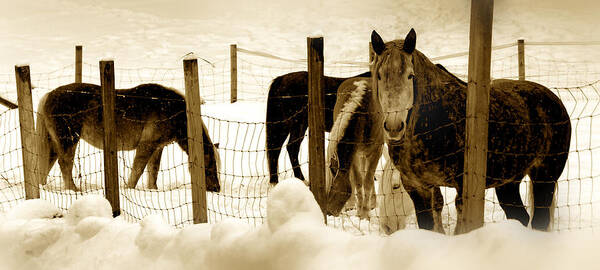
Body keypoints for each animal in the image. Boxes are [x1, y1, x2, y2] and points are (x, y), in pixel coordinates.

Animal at [33, 82, 220, 192]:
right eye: (209, 166)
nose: (216, 189)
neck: (173, 111)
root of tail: (49, 95)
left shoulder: (157, 147)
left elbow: (153, 171)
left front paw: (152, 190)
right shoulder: (146, 145)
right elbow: (138, 169)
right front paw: (129, 188)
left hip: (55, 142)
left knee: (48, 163)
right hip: (68, 140)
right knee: (65, 165)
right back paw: (73, 189)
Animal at [324, 77, 384, 219]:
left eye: (332, 187)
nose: (328, 213)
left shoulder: (376, 151)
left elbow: (367, 182)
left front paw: (365, 214)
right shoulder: (355, 154)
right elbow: (358, 182)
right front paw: (359, 212)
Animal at [370, 28, 572, 233]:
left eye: (410, 76)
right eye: (379, 76)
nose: (394, 126)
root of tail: (554, 99)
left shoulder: (464, 188)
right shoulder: (417, 187)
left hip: (544, 177)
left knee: (540, 220)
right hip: (508, 183)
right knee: (520, 217)